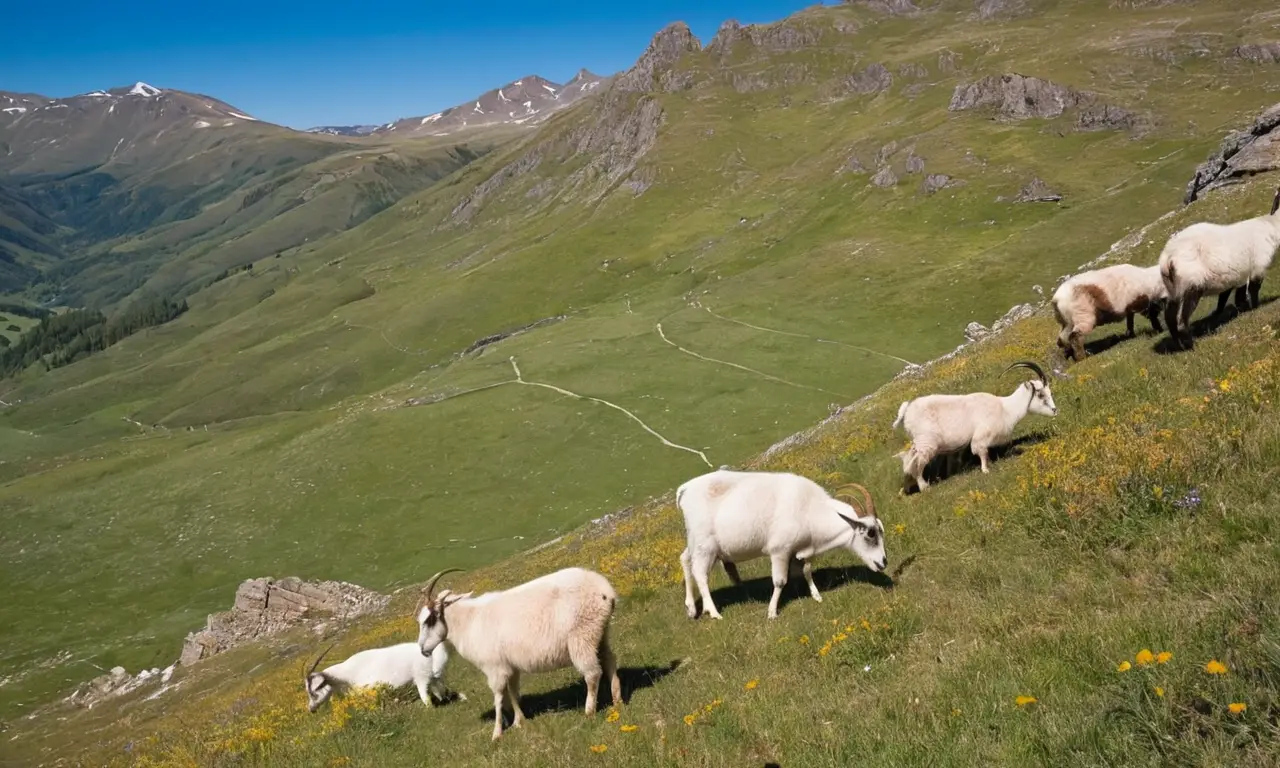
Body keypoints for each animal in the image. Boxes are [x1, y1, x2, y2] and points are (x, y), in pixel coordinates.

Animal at [304, 641, 459, 712]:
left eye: (315, 689)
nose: (311, 709)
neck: (347, 673)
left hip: (421, 677)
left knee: (426, 698)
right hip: (433, 677)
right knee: (440, 689)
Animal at [416, 567, 621, 741]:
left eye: (430, 619)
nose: (423, 650)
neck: (469, 622)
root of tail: (606, 592)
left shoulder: (494, 668)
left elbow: (499, 697)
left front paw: (497, 733)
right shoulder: (510, 666)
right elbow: (513, 692)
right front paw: (518, 721)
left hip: (582, 636)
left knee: (592, 674)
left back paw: (589, 712)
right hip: (600, 632)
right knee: (610, 660)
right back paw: (617, 700)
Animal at [676, 471, 886, 621]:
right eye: (870, 533)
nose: (883, 563)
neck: (809, 508)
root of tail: (685, 489)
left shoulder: (799, 549)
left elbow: (806, 571)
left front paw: (815, 595)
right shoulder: (780, 551)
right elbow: (779, 581)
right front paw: (772, 612)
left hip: (696, 543)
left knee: (685, 559)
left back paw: (691, 608)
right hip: (705, 546)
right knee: (700, 575)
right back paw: (713, 612)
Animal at [892, 361, 1057, 492]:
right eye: (1041, 394)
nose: (1055, 410)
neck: (1005, 407)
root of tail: (907, 411)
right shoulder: (982, 436)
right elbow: (981, 451)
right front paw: (985, 470)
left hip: (919, 443)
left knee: (908, 460)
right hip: (926, 443)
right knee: (916, 462)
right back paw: (924, 487)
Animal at [1159, 185, 1280, 349]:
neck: (1271, 224)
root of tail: (1167, 257)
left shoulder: (1237, 274)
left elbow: (1232, 297)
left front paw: (1240, 310)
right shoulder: (1258, 267)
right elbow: (1253, 290)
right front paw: (1256, 308)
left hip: (1173, 289)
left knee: (1170, 318)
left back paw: (1179, 345)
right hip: (1191, 283)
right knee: (1181, 320)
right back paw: (1190, 344)